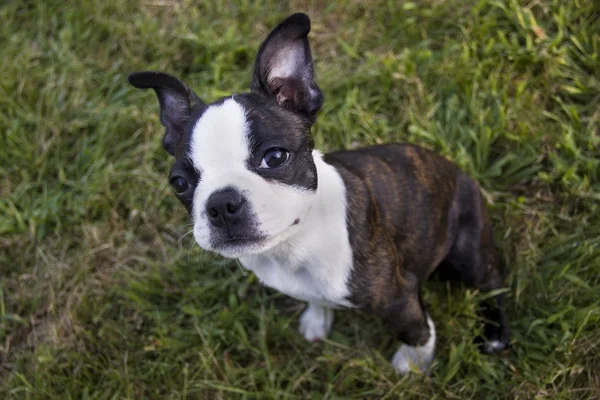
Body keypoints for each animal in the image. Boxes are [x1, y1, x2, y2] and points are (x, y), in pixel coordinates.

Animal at [129, 13, 508, 376]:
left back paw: (494, 334)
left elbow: (416, 329)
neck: (292, 246)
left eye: (275, 157)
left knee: (493, 283)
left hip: (469, 248)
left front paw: (414, 362)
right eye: (180, 183)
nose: (222, 204)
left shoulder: (398, 297)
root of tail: (458, 171)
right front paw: (317, 317)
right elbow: (317, 299)